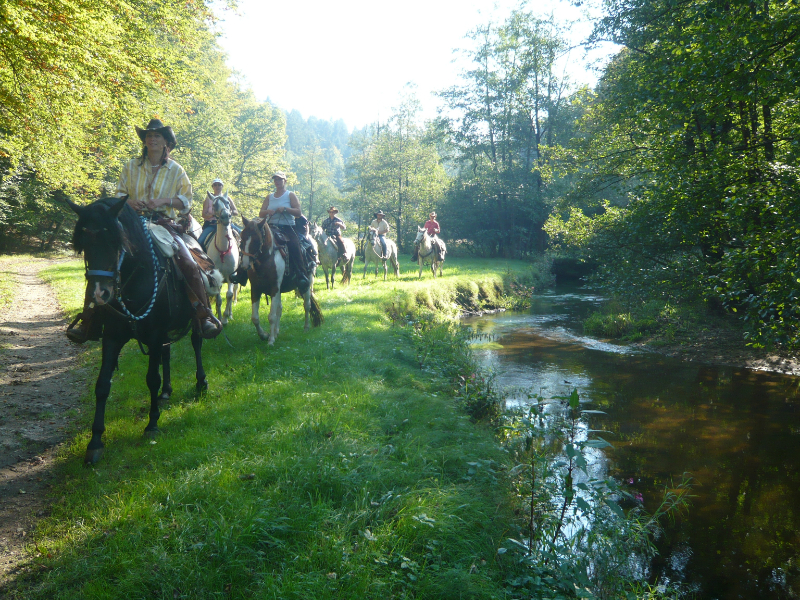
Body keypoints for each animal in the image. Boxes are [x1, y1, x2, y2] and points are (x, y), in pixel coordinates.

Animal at [68, 197, 208, 464]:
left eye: (115, 242)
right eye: (84, 244)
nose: (99, 294)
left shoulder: (154, 335)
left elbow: (152, 379)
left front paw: (152, 425)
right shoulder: (112, 337)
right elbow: (102, 384)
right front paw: (95, 441)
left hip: (195, 319)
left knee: (197, 343)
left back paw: (201, 383)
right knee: (167, 353)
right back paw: (166, 392)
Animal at [202, 195, 239, 326]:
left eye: (228, 202)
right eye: (214, 205)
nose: (226, 216)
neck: (223, 249)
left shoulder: (231, 275)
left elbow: (229, 295)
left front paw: (225, 317)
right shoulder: (216, 276)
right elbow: (218, 298)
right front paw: (219, 317)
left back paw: (231, 315)